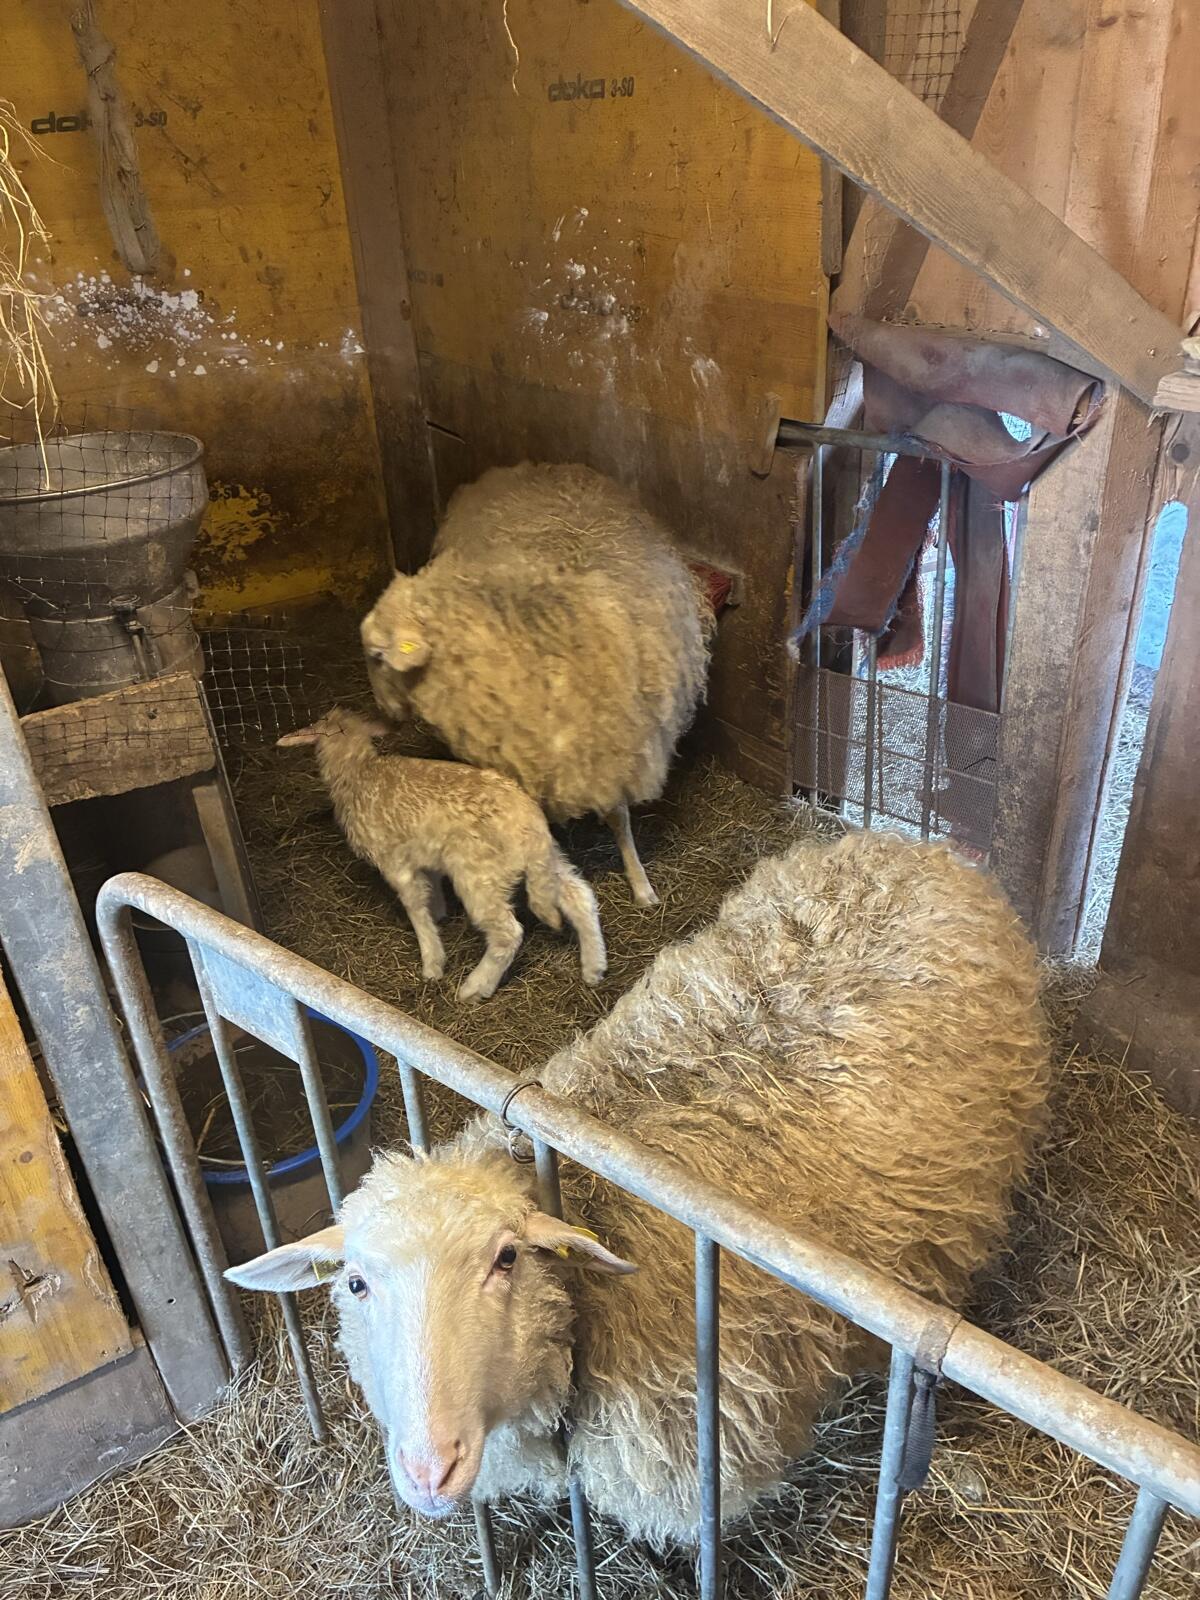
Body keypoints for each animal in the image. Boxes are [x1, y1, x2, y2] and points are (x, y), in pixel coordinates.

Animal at [277, 708, 606, 1002]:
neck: (359, 772)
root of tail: (529, 824)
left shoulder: (394, 862)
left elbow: (415, 907)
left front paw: (432, 962)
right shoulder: (424, 856)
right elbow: (431, 891)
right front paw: (439, 913)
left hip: (480, 875)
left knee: (507, 933)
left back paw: (475, 988)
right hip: (546, 861)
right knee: (578, 896)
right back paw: (594, 967)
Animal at [359, 461, 713, 909]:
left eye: (377, 655)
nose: (383, 710)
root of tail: (540, 466)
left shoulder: (612, 745)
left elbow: (618, 816)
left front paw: (641, 885)